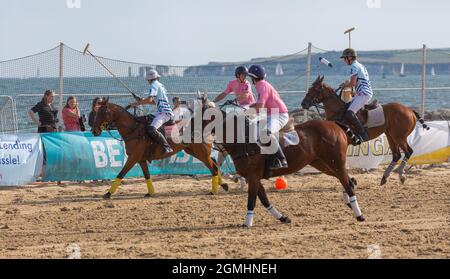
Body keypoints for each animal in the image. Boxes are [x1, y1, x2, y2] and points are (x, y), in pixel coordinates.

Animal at [90, 99, 229, 199]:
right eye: (96, 112)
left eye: (103, 112)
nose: (94, 131)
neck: (133, 130)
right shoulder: (141, 159)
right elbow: (147, 175)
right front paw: (150, 192)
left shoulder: (133, 158)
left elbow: (121, 174)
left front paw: (108, 193)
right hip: (194, 151)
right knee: (214, 165)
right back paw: (223, 185)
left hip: (201, 152)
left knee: (214, 168)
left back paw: (214, 191)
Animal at [194, 99, 366, 229]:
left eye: (200, 117)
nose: (192, 135)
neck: (243, 141)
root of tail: (335, 125)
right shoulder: (252, 177)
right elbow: (264, 199)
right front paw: (283, 217)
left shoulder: (253, 176)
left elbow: (252, 200)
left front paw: (247, 222)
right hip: (323, 164)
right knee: (349, 180)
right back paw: (349, 203)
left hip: (336, 163)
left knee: (347, 183)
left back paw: (359, 214)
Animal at [300, 75, 428, 187]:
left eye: (315, 89)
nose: (303, 103)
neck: (338, 112)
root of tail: (410, 110)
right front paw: (351, 180)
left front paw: (351, 180)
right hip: (390, 135)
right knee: (396, 155)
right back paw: (384, 177)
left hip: (399, 136)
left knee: (408, 151)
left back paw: (401, 175)